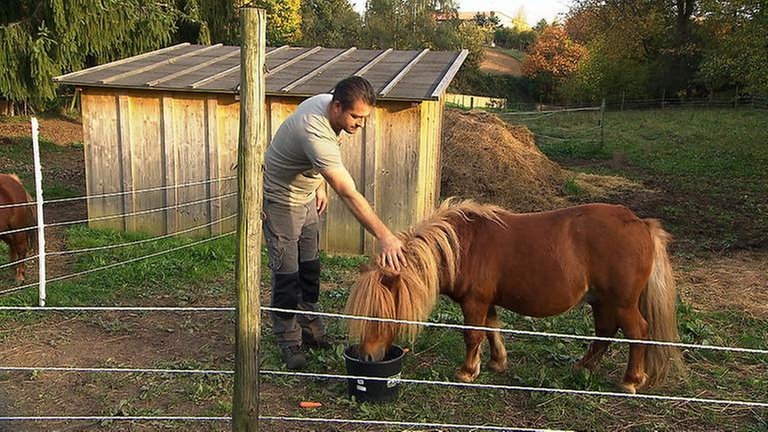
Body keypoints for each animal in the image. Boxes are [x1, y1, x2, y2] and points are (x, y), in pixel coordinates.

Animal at [346, 199, 684, 394]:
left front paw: (466, 372)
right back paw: (583, 368)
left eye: (378, 315)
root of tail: (641, 224)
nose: (366, 357)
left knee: (637, 333)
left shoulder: (474, 303)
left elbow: (473, 335)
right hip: (601, 301)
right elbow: (492, 330)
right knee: (604, 333)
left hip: (622, 304)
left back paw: (631, 380)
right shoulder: (487, 302)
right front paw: (496, 363)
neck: (462, 246)